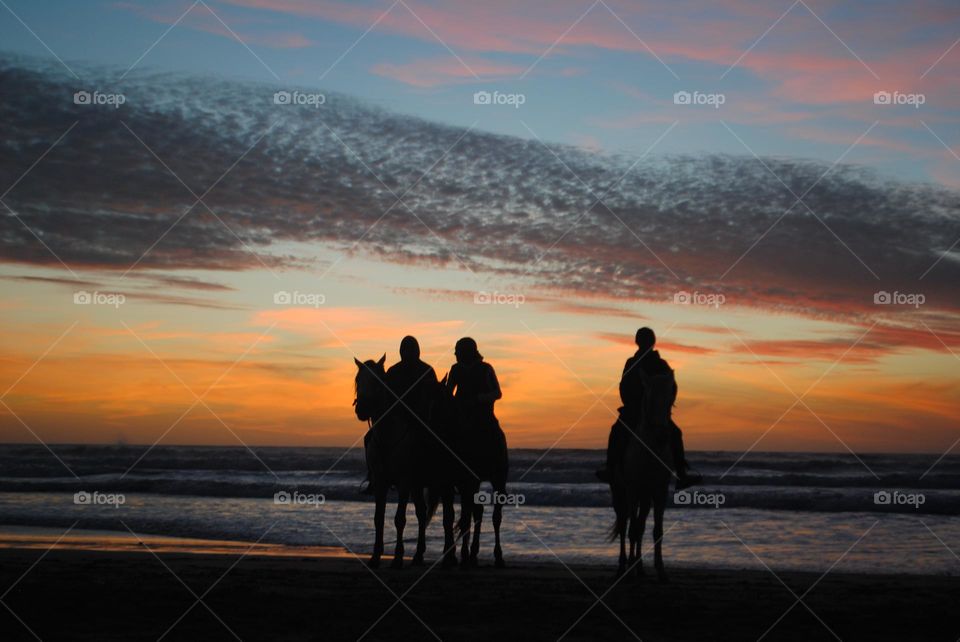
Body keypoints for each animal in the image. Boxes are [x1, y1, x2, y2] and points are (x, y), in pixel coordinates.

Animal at [354, 352, 436, 568]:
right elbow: (378, 518)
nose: (362, 409)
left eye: (377, 381)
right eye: (358, 380)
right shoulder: (380, 482)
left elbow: (399, 519)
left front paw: (398, 558)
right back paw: (418, 555)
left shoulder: (404, 482)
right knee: (422, 512)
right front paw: (375, 556)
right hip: (416, 485)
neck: (388, 436)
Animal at [612, 370, 672, 580]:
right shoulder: (632, 490)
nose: (662, 436)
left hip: (645, 497)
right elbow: (632, 529)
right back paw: (624, 566)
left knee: (640, 524)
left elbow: (656, 530)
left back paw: (639, 567)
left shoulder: (660, 491)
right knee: (625, 524)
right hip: (620, 491)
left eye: (670, 397)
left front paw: (661, 569)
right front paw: (630, 566)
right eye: (650, 399)